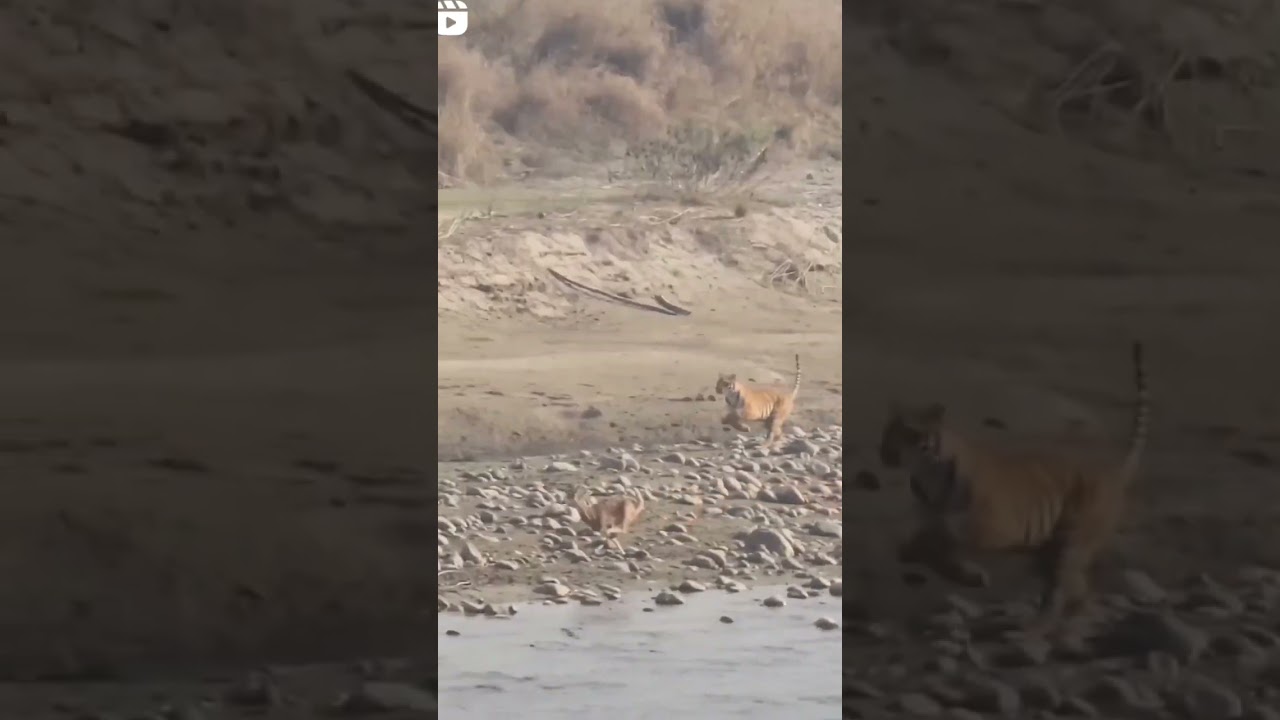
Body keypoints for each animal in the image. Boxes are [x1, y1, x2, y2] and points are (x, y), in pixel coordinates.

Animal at [878, 341, 1149, 638]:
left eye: (910, 433)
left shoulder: (991, 527)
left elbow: (944, 542)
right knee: (1076, 588)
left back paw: (1037, 628)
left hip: (1072, 538)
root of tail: (1111, 471)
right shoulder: (930, 519)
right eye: (887, 431)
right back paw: (1070, 619)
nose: (885, 453)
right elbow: (924, 542)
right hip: (1049, 550)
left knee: (1062, 588)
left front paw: (967, 573)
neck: (928, 474)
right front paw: (920, 555)